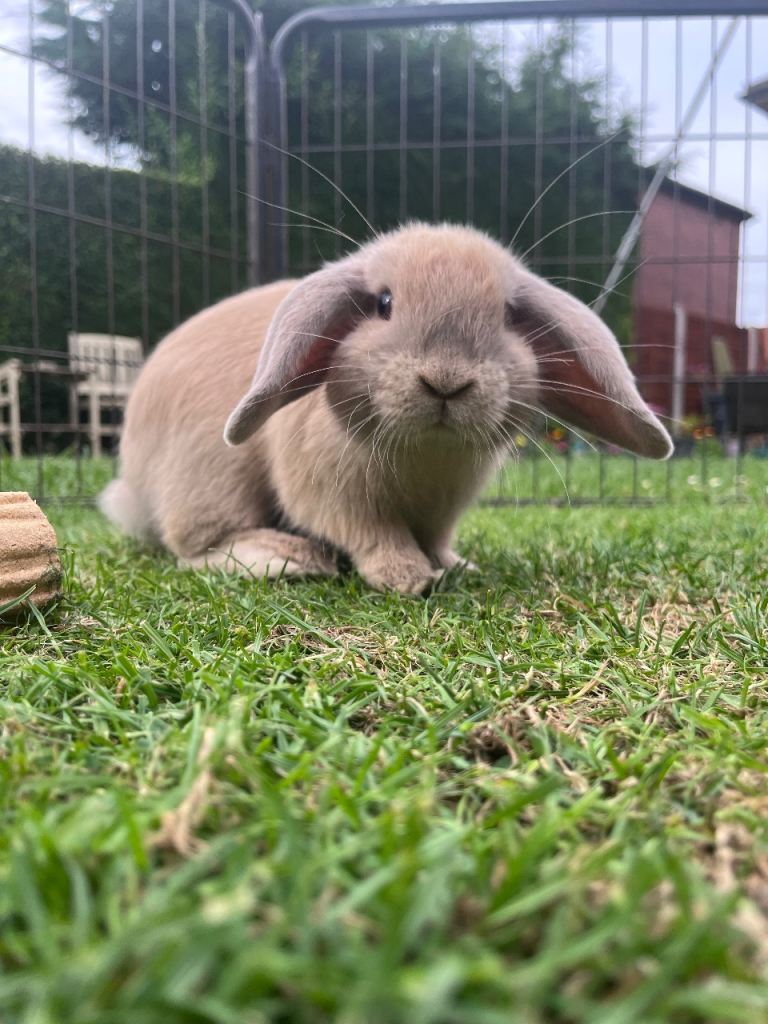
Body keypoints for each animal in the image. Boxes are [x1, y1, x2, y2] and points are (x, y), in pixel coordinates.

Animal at [101, 223, 672, 594]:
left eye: (509, 315)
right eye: (384, 304)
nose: (446, 381)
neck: (428, 450)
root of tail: (133, 483)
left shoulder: (442, 512)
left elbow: (436, 540)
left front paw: (456, 566)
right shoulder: (335, 496)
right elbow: (374, 535)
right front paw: (407, 579)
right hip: (211, 477)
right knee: (194, 546)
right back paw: (289, 558)